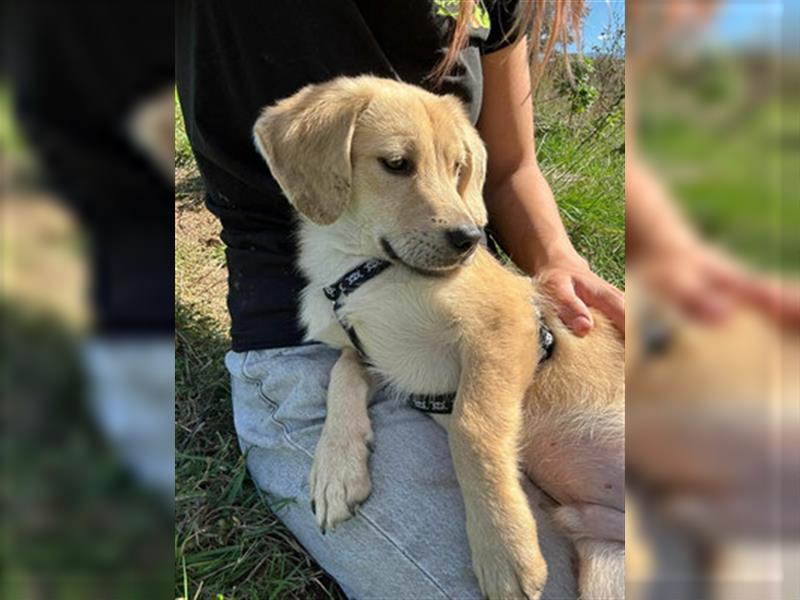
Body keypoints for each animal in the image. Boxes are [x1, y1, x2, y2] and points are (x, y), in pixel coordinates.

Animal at [253, 77, 620, 596]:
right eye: (396, 163)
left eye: (458, 168)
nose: (469, 239)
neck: (362, 266)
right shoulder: (383, 357)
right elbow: (342, 375)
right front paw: (335, 469)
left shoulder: (507, 324)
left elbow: (471, 426)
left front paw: (503, 548)